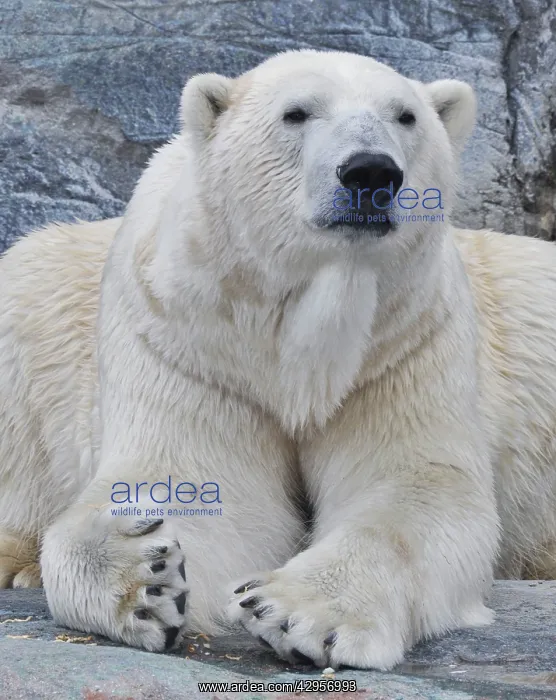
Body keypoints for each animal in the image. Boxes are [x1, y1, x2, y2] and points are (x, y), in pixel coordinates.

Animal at [1, 48, 556, 671]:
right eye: (296, 113)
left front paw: (296, 611)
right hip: (39, 303)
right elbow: (198, 483)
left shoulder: (405, 340)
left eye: (406, 115)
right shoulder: (190, 342)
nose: (370, 172)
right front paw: (145, 573)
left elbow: (418, 486)